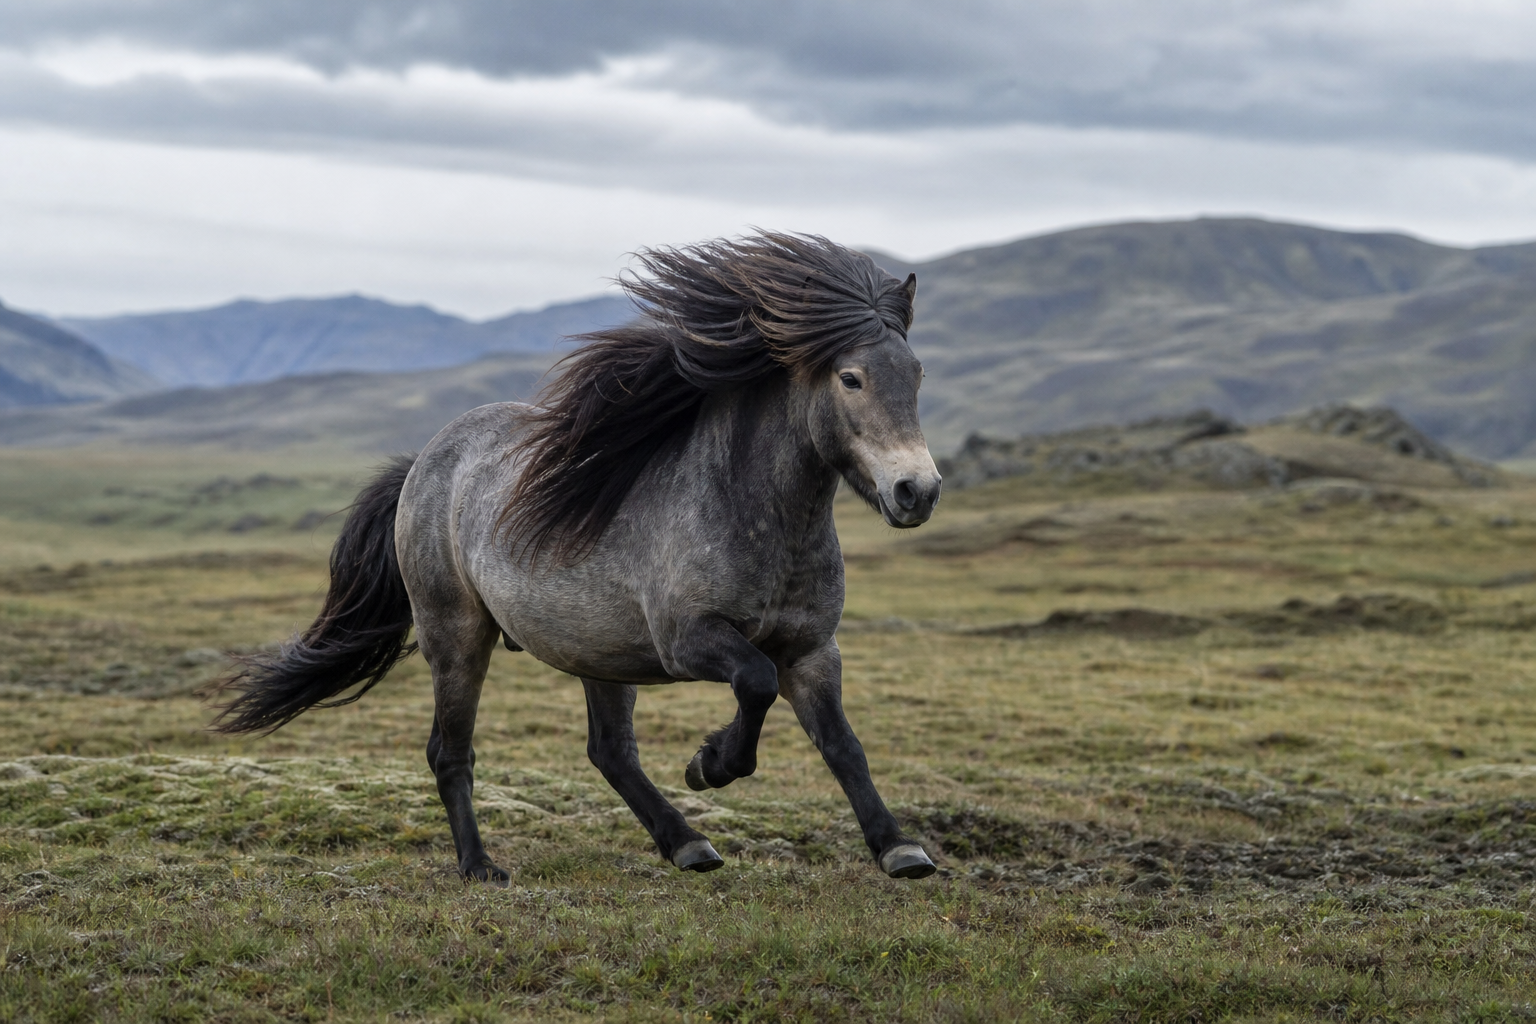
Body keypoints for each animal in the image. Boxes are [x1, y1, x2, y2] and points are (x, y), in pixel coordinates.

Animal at [215, 233, 944, 883]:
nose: (918, 491)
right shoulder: (690, 641)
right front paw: (710, 763)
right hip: (457, 636)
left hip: (601, 652)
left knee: (610, 752)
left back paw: (687, 844)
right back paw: (480, 867)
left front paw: (899, 848)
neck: (759, 517)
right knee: (451, 751)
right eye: (850, 378)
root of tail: (425, 461)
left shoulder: (815, 649)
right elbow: (756, 683)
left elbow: (843, 745)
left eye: (916, 374)